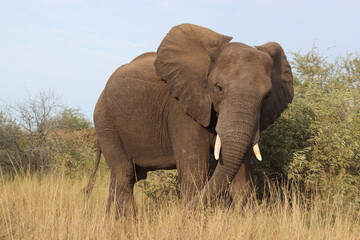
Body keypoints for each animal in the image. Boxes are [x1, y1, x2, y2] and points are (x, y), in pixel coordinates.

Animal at [84, 23, 292, 217]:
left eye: (267, 95)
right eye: (219, 88)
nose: (176, 214)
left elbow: (242, 177)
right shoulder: (181, 110)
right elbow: (196, 172)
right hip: (106, 121)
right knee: (124, 173)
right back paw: (127, 223)